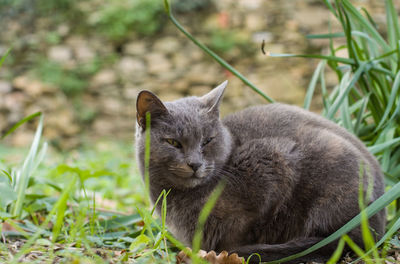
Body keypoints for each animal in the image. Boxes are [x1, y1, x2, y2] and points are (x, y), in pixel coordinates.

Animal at [136, 81, 386, 262]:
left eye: (207, 141)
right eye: (173, 143)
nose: (195, 164)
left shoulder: (271, 160)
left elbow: (241, 230)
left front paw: (224, 252)